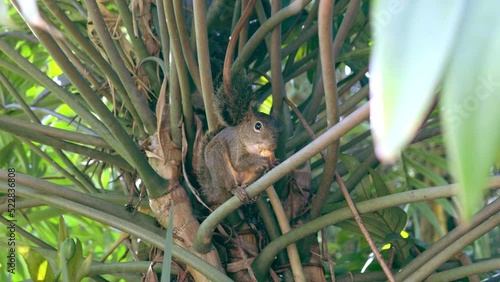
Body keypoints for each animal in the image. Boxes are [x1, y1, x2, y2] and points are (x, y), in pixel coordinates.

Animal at [196, 72, 282, 205]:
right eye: (258, 126)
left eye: (278, 127)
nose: (273, 145)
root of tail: (216, 191)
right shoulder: (235, 144)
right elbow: (238, 162)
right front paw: (260, 161)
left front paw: (273, 162)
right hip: (219, 160)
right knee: (230, 186)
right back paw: (237, 190)